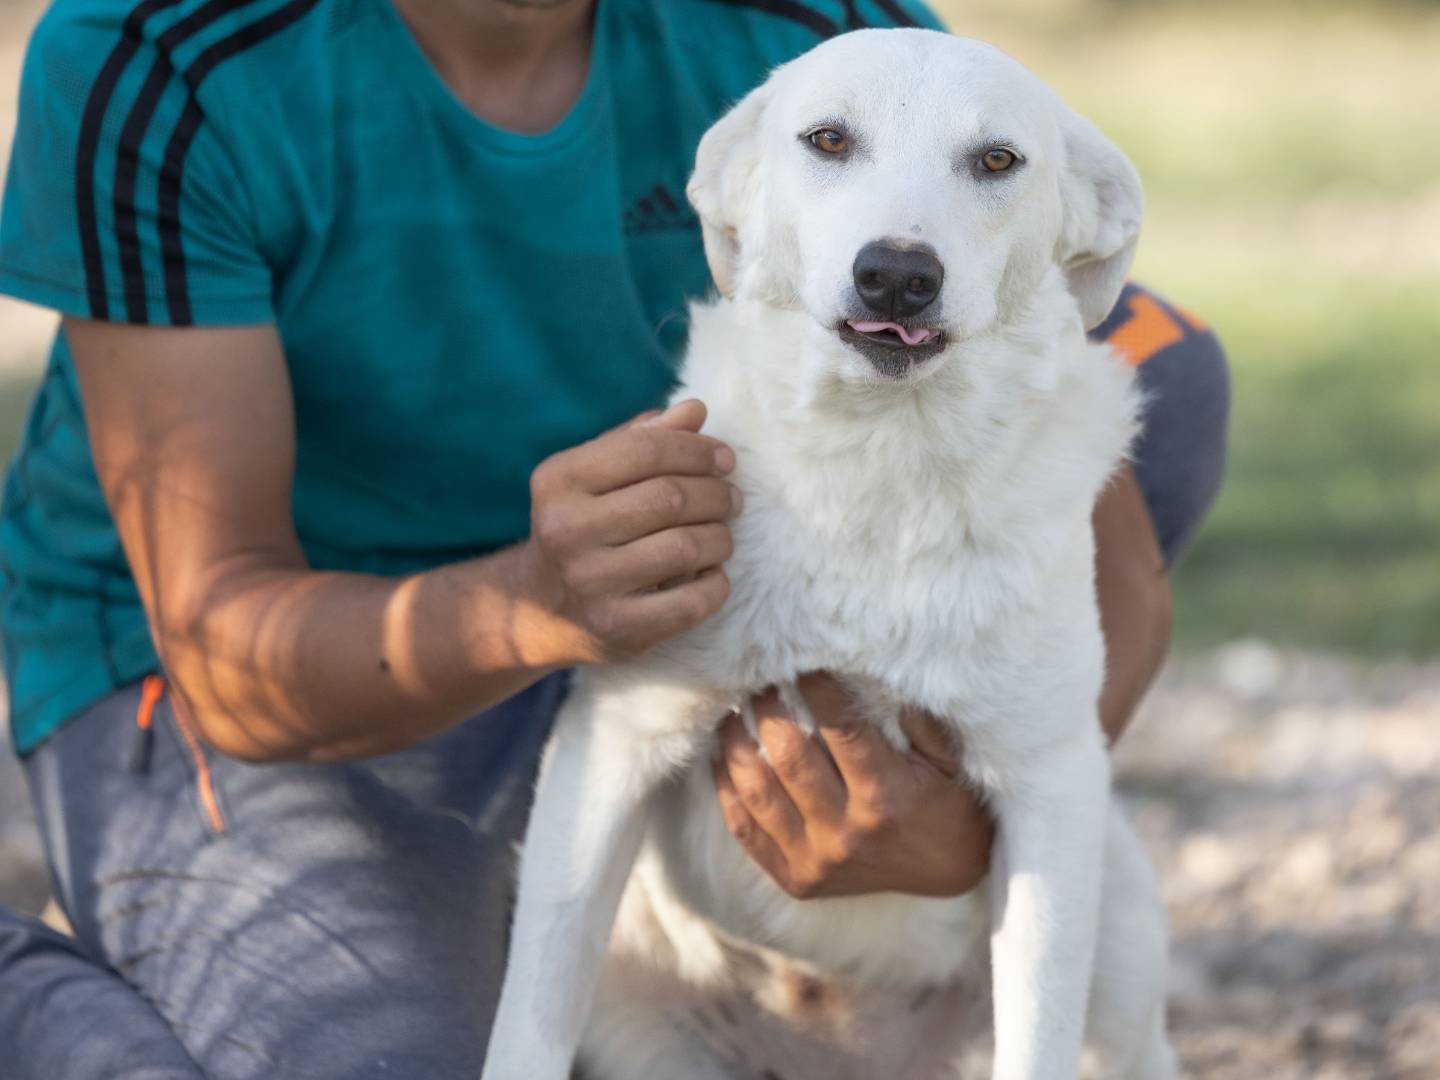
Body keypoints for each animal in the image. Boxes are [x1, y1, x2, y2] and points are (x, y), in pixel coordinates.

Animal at [480, 29, 1169, 1077]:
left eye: (997, 160)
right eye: (829, 140)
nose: (897, 274)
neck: (882, 462)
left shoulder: (1050, 790)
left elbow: (1036, 1041)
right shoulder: (612, 745)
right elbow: (524, 1025)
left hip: (1118, 922)